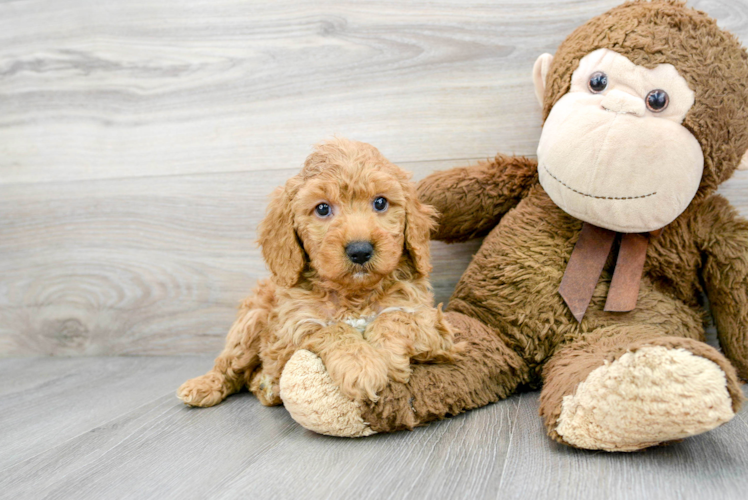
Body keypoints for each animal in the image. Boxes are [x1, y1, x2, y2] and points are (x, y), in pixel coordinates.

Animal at [177, 138, 456, 410]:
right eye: (322, 209)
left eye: (380, 202)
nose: (360, 251)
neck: (353, 294)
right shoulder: (290, 329)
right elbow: (332, 330)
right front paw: (362, 366)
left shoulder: (433, 323)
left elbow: (395, 317)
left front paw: (387, 356)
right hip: (251, 321)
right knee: (229, 365)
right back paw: (206, 386)